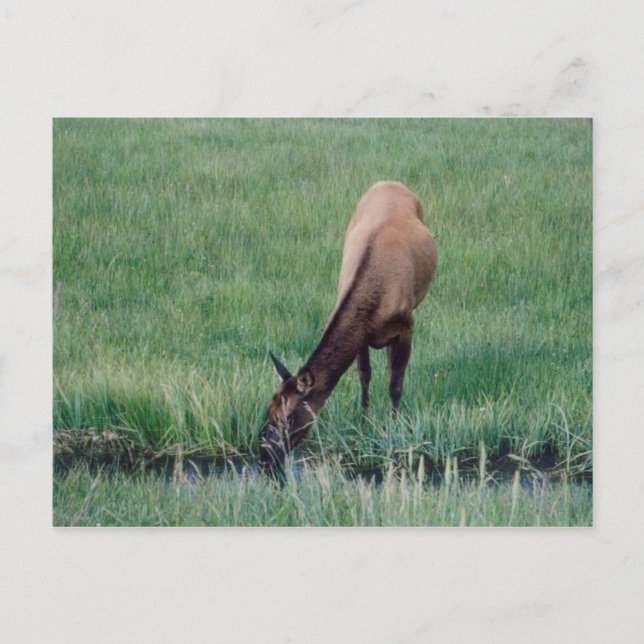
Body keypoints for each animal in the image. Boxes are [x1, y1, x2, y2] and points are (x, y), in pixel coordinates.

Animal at [259, 181, 437, 472]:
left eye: (289, 415)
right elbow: (364, 376)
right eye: (269, 408)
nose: (264, 455)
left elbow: (395, 384)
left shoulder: (407, 325)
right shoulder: (362, 337)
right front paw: (364, 422)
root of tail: (389, 182)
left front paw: (394, 426)